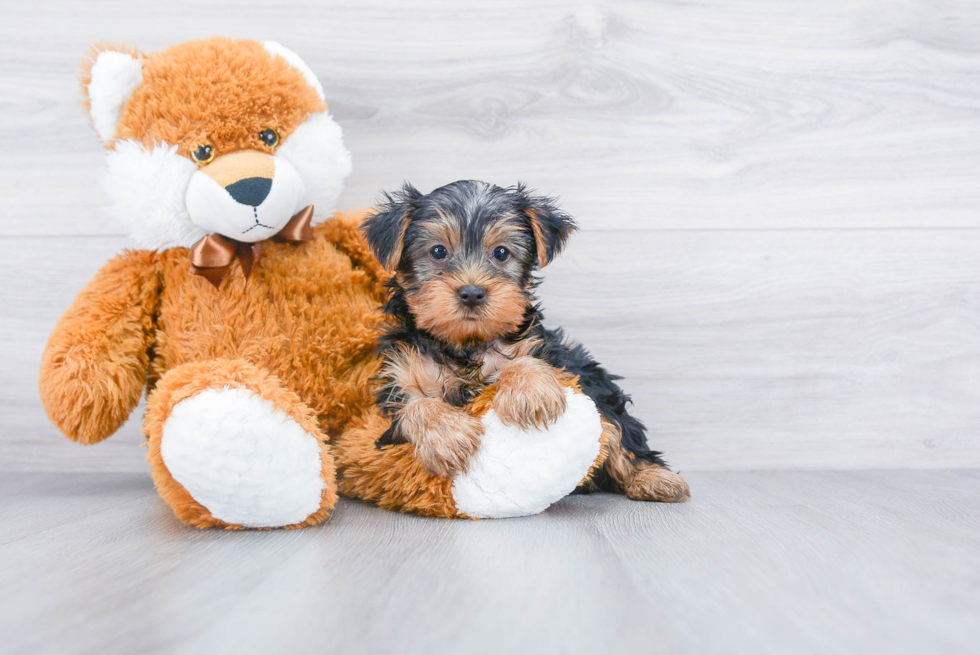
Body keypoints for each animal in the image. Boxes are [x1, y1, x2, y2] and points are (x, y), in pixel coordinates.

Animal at [360, 179, 688, 502]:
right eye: (438, 252)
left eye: (501, 253)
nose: (472, 293)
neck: (466, 343)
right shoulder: (400, 377)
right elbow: (414, 407)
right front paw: (448, 437)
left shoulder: (546, 351)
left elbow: (526, 360)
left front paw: (531, 394)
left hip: (598, 387)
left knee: (620, 432)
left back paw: (654, 479)